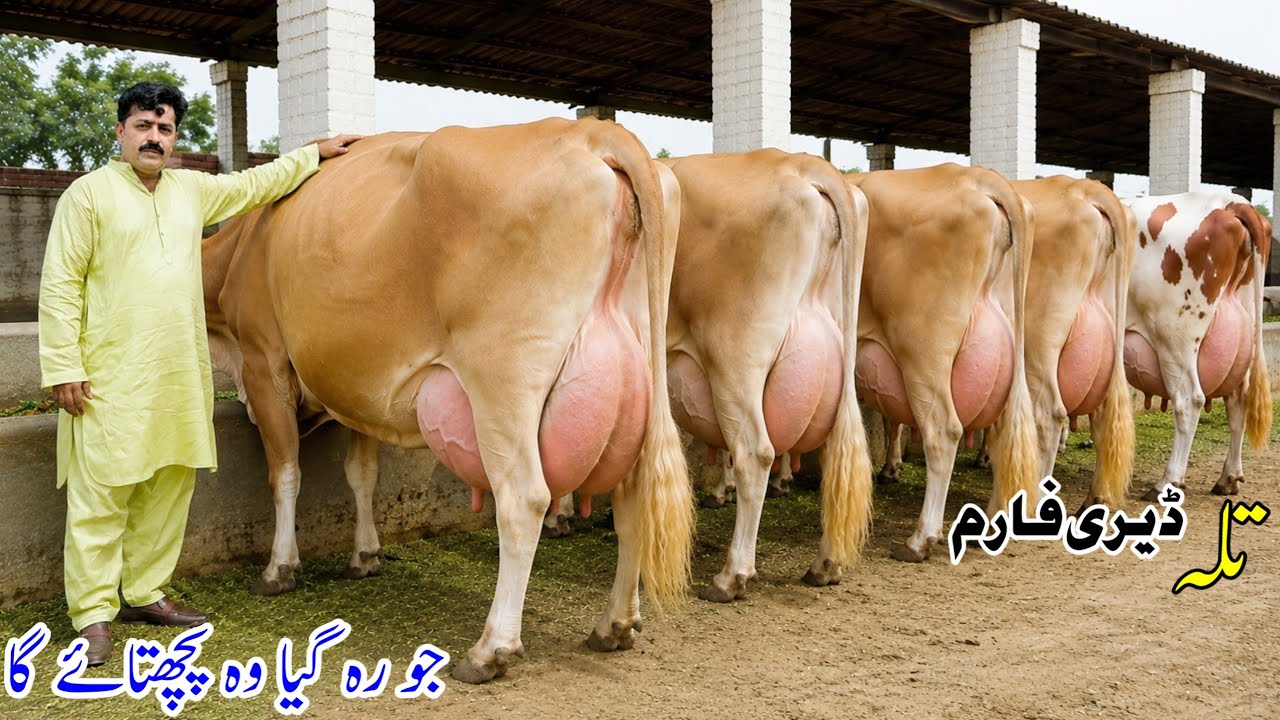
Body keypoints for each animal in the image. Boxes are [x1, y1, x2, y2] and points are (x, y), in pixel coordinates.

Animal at [202, 119, 694, 684]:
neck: (242, 248)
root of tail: (590, 131)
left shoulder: (265, 364)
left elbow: (284, 475)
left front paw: (278, 568)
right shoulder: (359, 389)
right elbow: (361, 474)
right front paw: (365, 555)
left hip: (503, 380)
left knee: (523, 499)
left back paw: (490, 649)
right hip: (640, 374)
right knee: (634, 493)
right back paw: (615, 624)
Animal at [660, 149, 873, 597]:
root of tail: (800, 163)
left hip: (734, 360)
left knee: (754, 451)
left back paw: (731, 575)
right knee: (837, 452)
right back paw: (825, 565)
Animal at [846, 164, 1040, 562]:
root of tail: (973, 175)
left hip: (923, 352)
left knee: (943, 429)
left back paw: (921, 538)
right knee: (1003, 430)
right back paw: (995, 521)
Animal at [1123, 192, 1272, 499]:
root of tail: (1230, 202)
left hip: (1174, 336)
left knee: (1189, 400)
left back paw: (1168, 481)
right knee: (1238, 399)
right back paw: (1228, 477)